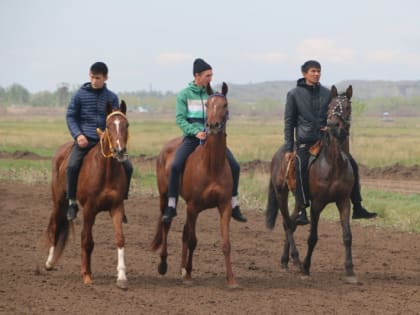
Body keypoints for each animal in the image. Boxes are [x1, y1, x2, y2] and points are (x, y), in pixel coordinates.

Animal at [44, 102, 130, 290]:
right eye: (109, 125)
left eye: (126, 125)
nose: (119, 151)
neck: (106, 171)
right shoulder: (89, 209)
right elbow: (87, 240)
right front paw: (86, 275)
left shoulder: (116, 207)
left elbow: (120, 239)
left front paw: (121, 277)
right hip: (58, 201)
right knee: (55, 226)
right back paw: (49, 262)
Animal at [151, 82, 238, 288]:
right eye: (207, 105)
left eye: (224, 104)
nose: (212, 126)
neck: (212, 165)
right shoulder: (193, 207)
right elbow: (192, 240)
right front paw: (189, 276)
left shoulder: (224, 206)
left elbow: (226, 243)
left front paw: (231, 279)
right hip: (165, 197)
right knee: (166, 224)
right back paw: (164, 264)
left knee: (183, 231)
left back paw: (182, 269)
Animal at [266, 86, 358, 284]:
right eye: (330, 106)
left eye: (347, 107)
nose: (333, 125)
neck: (333, 163)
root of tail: (279, 153)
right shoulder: (316, 204)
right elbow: (313, 237)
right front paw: (307, 267)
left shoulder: (343, 201)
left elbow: (347, 236)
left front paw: (350, 270)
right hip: (281, 194)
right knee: (287, 223)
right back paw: (296, 259)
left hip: (298, 199)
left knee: (292, 222)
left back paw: (286, 260)